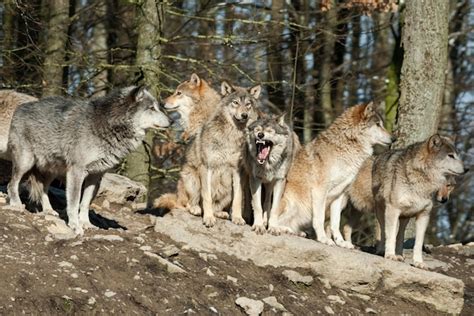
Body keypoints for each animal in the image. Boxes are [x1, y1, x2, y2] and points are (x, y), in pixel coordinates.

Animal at [7, 86, 170, 235]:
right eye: (151, 108)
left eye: (157, 107)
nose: (172, 120)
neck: (107, 124)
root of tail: (20, 107)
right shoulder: (76, 171)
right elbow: (73, 203)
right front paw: (75, 226)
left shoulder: (96, 175)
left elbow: (85, 203)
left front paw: (86, 224)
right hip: (26, 163)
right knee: (12, 184)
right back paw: (16, 205)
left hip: (52, 171)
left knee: (43, 189)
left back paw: (48, 210)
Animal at [266, 102, 392, 248]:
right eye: (378, 124)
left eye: (381, 124)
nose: (394, 138)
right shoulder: (320, 191)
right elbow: (319, 220)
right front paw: (323, 239)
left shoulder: (339, 195)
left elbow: (335, 223)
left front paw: (341, 242)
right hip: (289, 202)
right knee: (269, 221)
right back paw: (283, 229)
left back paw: (296, 232)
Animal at [370, 135, 466, 268]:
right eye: (450, 156)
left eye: (458, 155)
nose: (467, 168)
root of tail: (382, 154)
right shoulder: (393, 210)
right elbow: (390, 236)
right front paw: (389, 255)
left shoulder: (424, 215)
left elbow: (418, 243)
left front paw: (418, 262)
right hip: (382, 211)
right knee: (383, 230)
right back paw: (382, 251)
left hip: (405, 217)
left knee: (400, 234)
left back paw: (399, 255)